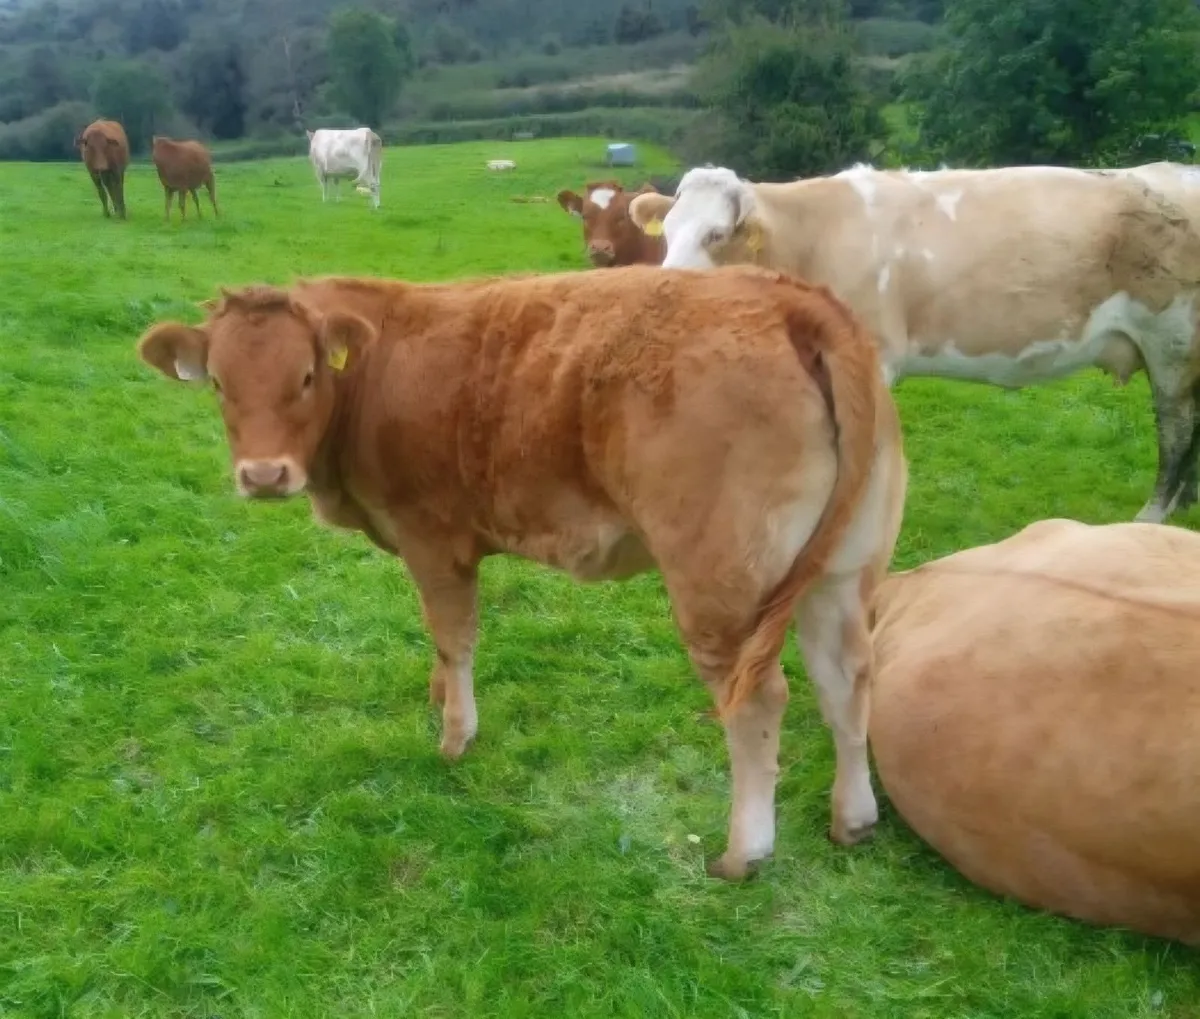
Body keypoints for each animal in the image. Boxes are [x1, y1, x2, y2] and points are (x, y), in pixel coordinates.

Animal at [134, 263, 908, 881]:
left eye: (304, 376)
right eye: (219, 385)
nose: (264, 475)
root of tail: (788, 296)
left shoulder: (432, 537)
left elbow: (453, 636)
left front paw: (455, 734)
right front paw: (436, 695)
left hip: (717, 585)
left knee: (759, 700)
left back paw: (745, 851)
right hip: (840, 571)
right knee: (846, 677)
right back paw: (854, 817)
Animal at [628, 163, 1200, 524]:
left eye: (716, 235)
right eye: (668, 230)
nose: (664, 292)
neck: (812, 238)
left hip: (1171, 339)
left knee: (1176, 428)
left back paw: (1153, 515)